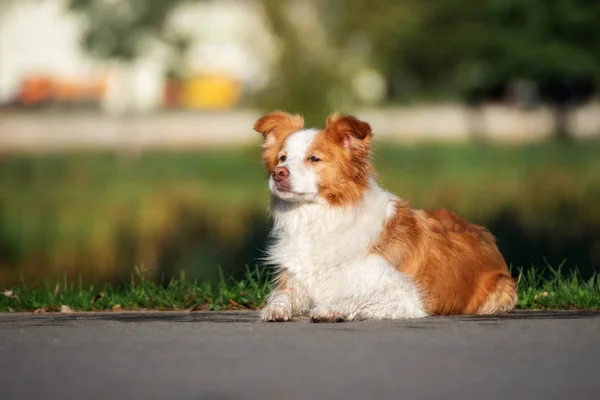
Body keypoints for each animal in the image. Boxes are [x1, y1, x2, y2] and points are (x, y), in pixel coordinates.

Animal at [253, 110, 516, 322]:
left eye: (314, 159)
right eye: (282, 158)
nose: (278, 173)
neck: (318, 217)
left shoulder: (404, 297)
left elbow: (355, 297)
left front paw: (329, 308)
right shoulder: (294, 279)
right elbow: (281, 295)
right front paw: (273, 309)